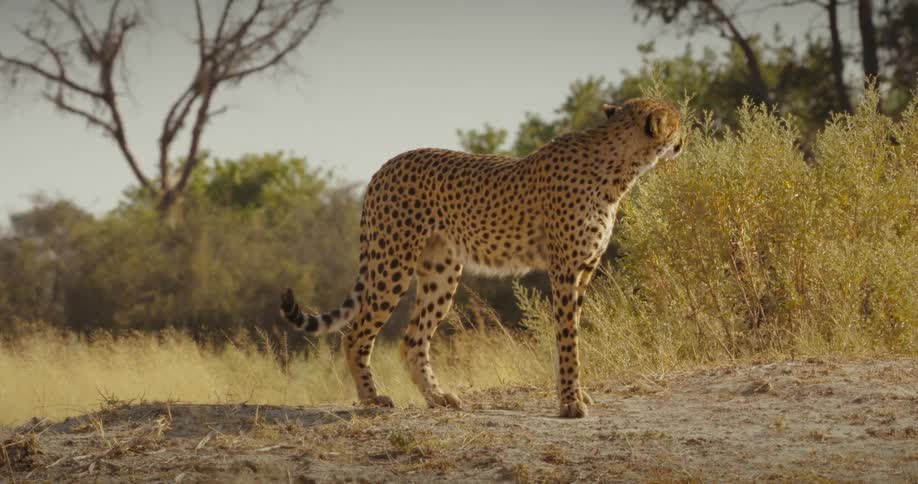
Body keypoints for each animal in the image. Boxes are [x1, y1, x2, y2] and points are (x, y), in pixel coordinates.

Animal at [281, 97, 685, 418]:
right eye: (677, 122)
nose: (683, 141)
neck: (619, 168)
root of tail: (385, 166)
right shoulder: (566, 269)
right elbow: (567, 337)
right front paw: (571, 402)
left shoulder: (585, 268)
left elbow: (571, 334)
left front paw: (576, 394)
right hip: (393, 261)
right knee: (356, 333)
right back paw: (371, 398)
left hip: (441, 270)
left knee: (413, 338)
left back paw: (437, 397)